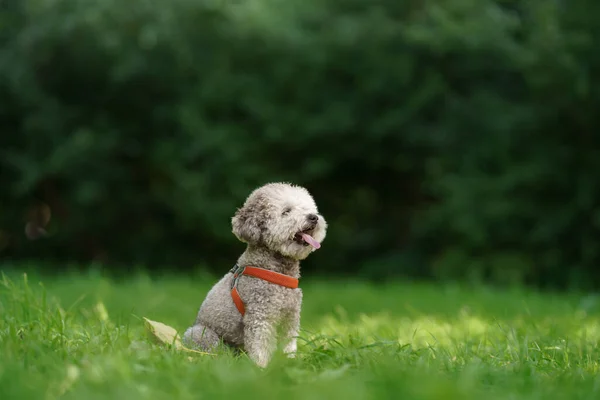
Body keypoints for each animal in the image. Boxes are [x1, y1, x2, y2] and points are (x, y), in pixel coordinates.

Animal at [183, 183, 328, 368]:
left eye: (308, 208)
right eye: (286, 211)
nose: (313, 217)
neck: (276, 270)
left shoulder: (290, 318)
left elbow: (288, 345)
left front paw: (289, 363)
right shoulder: (260, 316)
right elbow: (260, 347)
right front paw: (261, 369)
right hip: (200, 333)